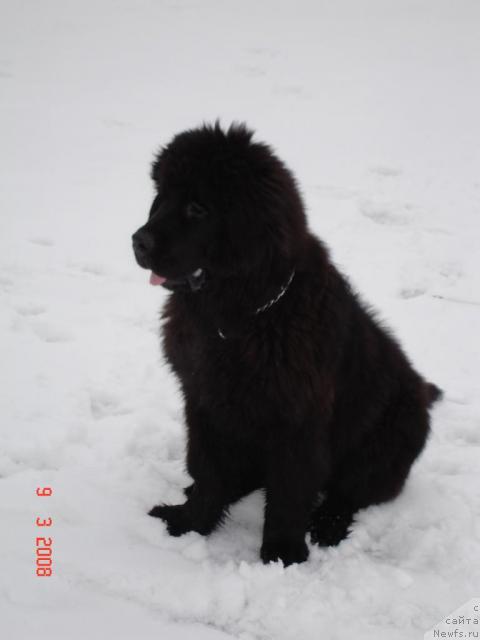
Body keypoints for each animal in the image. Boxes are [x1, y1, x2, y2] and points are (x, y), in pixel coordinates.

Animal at [132, 121, 442, 564]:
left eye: (198, 208)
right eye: (161, 198)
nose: (138, 241)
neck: (240, 319)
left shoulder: (297, 418)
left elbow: (289, 491)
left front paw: (282, 554)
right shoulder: (204, 401)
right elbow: (207, 468)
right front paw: (190, 522)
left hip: (392, 434)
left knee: (349, 493)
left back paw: (327, 525)